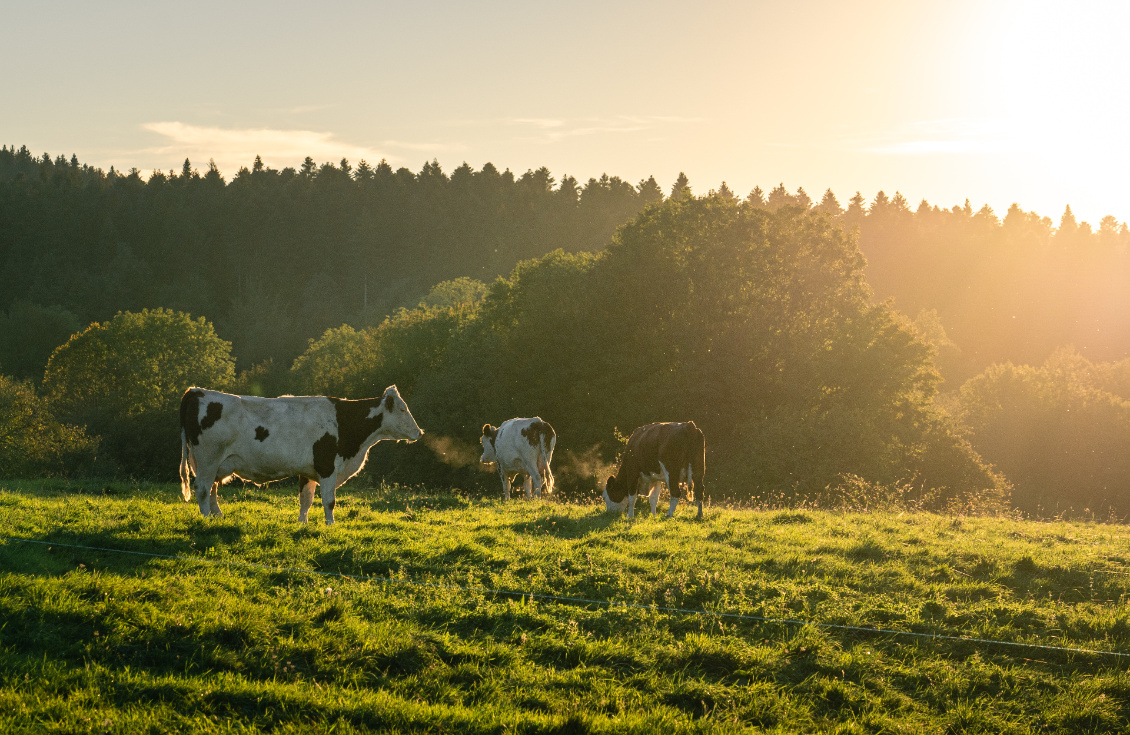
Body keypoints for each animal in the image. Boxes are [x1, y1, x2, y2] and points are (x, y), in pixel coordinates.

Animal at [178, 386, 422, 524]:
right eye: (403, 409)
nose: (419, 432)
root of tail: (196, 391)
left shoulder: (308, 470)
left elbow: (306, 500)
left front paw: (302, 524)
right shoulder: (327, 467)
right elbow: (329, 501)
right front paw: (330, 525)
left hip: (214, 463)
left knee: (212, 489)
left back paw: (217, 517)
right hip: (208, 459)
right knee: (203, 489)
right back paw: (207, 519)